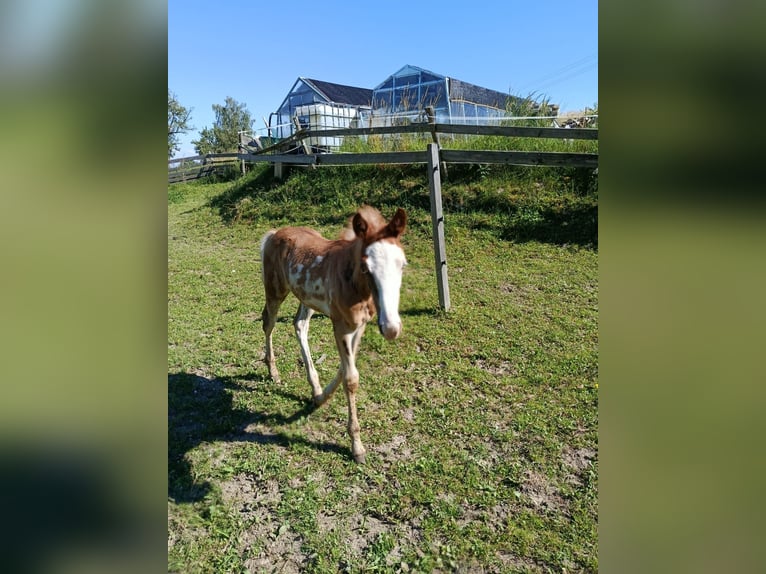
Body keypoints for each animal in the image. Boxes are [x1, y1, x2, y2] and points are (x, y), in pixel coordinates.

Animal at [259, 206, 408, 463]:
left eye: (403, 265)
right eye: (366, 267)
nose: (391, 328)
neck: (356, 286)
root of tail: (274, 233)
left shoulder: (359, 326)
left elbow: (346, 367)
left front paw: (320, 398)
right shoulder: (340, 326)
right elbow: (351, 378)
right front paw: (357, 447)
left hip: (306, 298)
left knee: (300, 325)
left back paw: (315, 386)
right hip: (275, 290)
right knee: (269, 323)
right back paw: (273, 372)